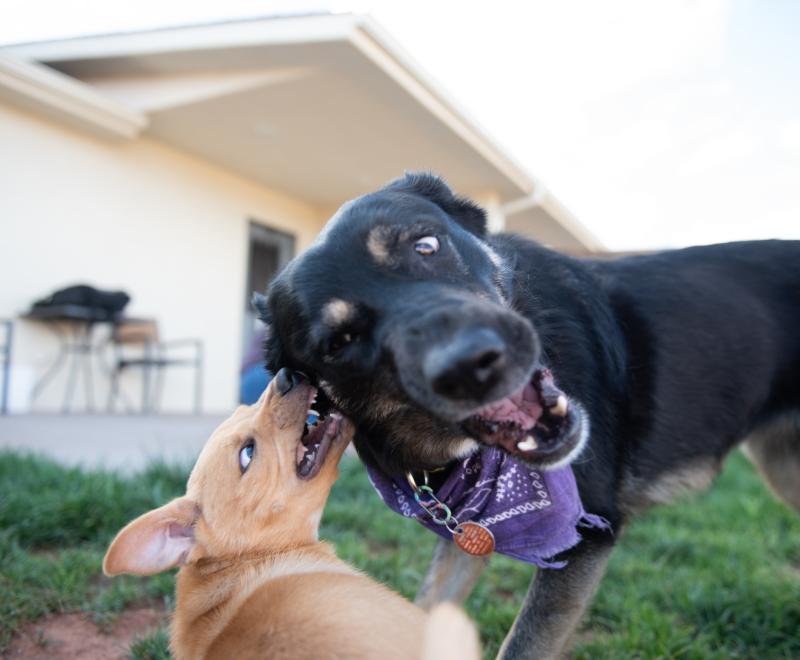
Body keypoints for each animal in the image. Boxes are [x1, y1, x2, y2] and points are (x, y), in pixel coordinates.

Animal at [258, 173, 800, 656]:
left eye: (426, 245)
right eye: (339, 343)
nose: (471, 366)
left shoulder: (585, 536)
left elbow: (522, 647)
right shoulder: (465, 537)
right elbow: (429, 606)